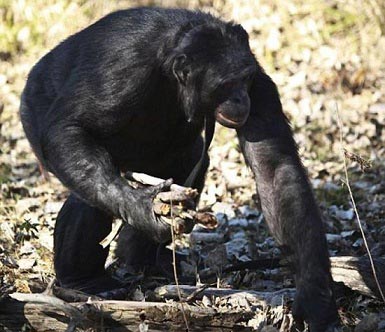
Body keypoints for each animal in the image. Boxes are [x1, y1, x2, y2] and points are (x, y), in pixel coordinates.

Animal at [19, 6, 336, 330]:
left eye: (244, 80)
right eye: (225, 85)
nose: (239, 97)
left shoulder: (258, 81)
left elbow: (275, 170)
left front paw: (314, 295)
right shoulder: (119, 71)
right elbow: (70, 128)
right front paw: (140, 210)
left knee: (190, 159)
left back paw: (142, 260)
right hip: (34, 106)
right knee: (88, 186)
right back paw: (84, 280)